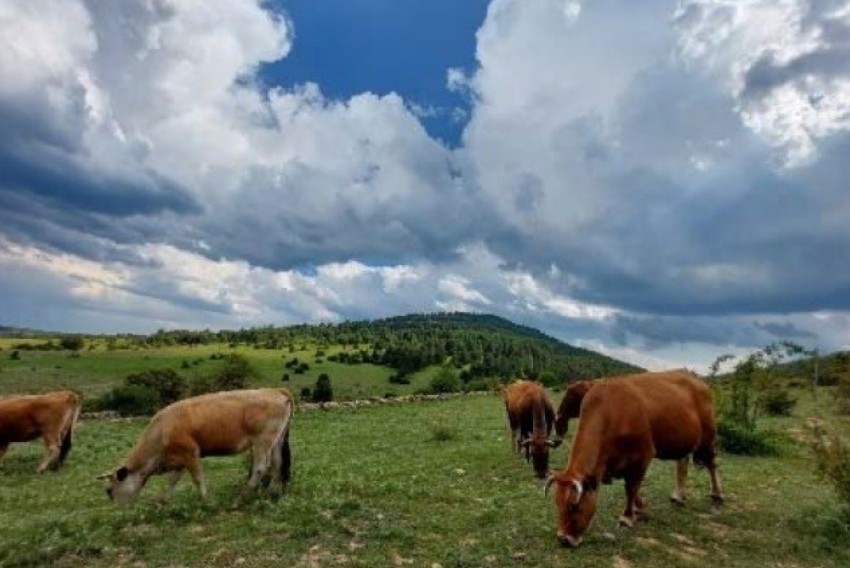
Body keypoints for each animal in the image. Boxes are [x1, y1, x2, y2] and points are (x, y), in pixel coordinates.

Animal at [97, 386, 292, 506]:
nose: (118, 509)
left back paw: (240, 498)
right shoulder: (179, 459)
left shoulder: (190, 453)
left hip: (261, 441)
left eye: (109, 490)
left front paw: (207, 501)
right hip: (277, 440)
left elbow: (198, 478)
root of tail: (274, 390)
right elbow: (172, 481)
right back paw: (272, 492)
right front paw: (162, 502)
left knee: (260, 467)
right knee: (278, 463)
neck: (162, 429)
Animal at [544, 370, 724, 548]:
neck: (612, 411)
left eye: (575, 506)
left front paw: (627, 517)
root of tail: (697, 380)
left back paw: (717, 494)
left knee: (711, 463)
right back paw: (679, 495)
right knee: (683, 461)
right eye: (557, 503)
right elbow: (631, 487)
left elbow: (631, 487)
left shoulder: (643, 456)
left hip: (708, 437)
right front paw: (640, 507)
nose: (563, 538)